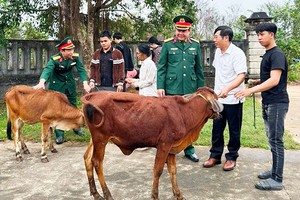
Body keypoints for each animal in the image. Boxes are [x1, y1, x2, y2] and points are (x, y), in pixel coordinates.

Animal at [81, 86, 224, 200]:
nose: (219, 115)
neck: (184, 112)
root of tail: (93, 95)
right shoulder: (164, 144)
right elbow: (158, 170)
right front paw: (155, 195)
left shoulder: (172, 148)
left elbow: (173, 170)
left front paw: (178, 194)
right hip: (101, 139)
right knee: (97, 162)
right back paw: (107, 194)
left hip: (94, 139)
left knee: (87, 158)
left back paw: (95, 193)